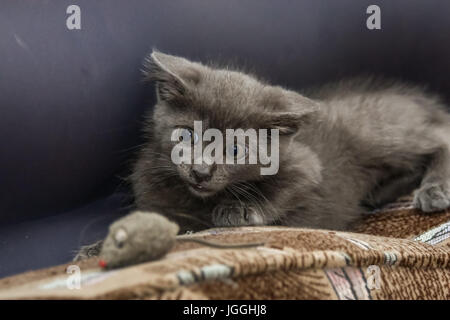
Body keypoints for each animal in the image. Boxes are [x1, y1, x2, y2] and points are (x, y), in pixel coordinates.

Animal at [127, 50, 450, 231]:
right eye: (187, 135)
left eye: (236, 149)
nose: (200, 172)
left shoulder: (308, 164)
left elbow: (288, 185)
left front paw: (238, 209)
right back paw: (378, 192)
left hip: (372, 131)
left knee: (440, 135)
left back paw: (434, 189)